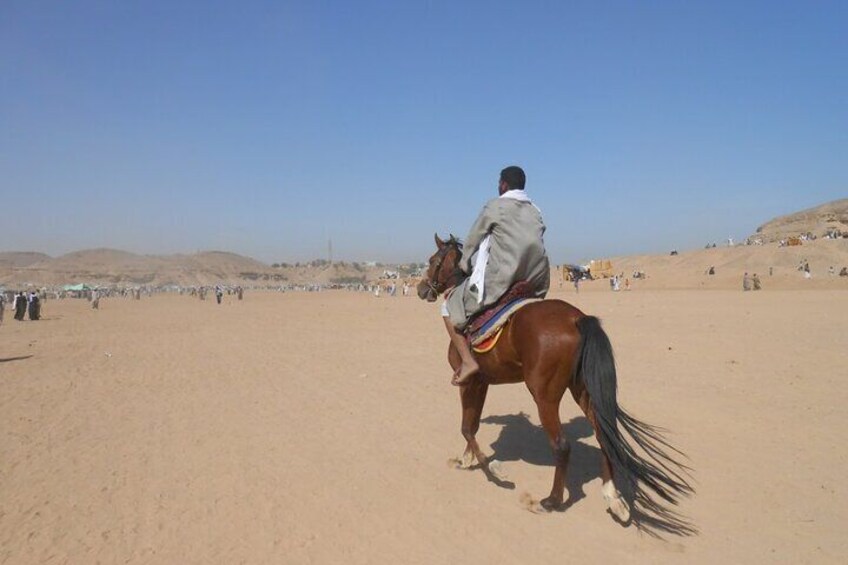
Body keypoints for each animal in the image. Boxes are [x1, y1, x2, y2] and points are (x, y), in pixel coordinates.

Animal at [420, 234, 696, 532]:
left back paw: (551, 500)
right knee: (604, 436)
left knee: (562, 445)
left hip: (544, 395)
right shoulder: (482, 383)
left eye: (433, 261)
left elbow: (467, 427)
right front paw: (467, 458)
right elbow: (471, 425)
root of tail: (576, 318)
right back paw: (614, 501)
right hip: (583, 390)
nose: (422, 289)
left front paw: (494, 471)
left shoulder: (468, 381)